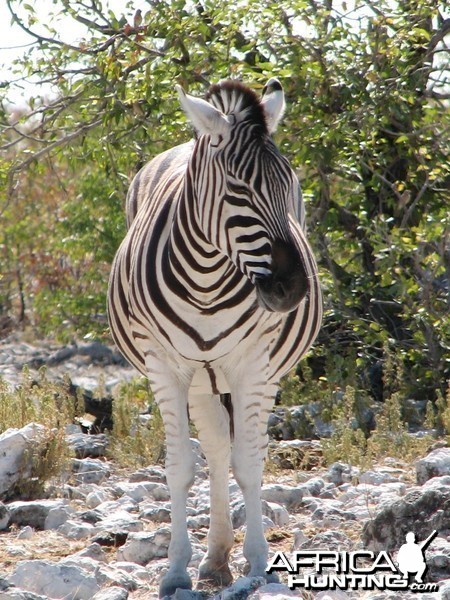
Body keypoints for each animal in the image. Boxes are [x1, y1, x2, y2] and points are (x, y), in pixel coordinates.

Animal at [107, 78, 322, 596]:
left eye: (290, 184)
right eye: (238, 189)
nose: (292, 290)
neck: (207, 277)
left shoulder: (255, 367)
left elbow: (249, 463)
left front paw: (259, 563)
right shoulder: (165, 368)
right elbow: (181, 467)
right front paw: (176, 569)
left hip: (243, 373)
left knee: (232, 448)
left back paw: (223, 556)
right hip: (202, 380)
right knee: (216, 444)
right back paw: (214, 557)